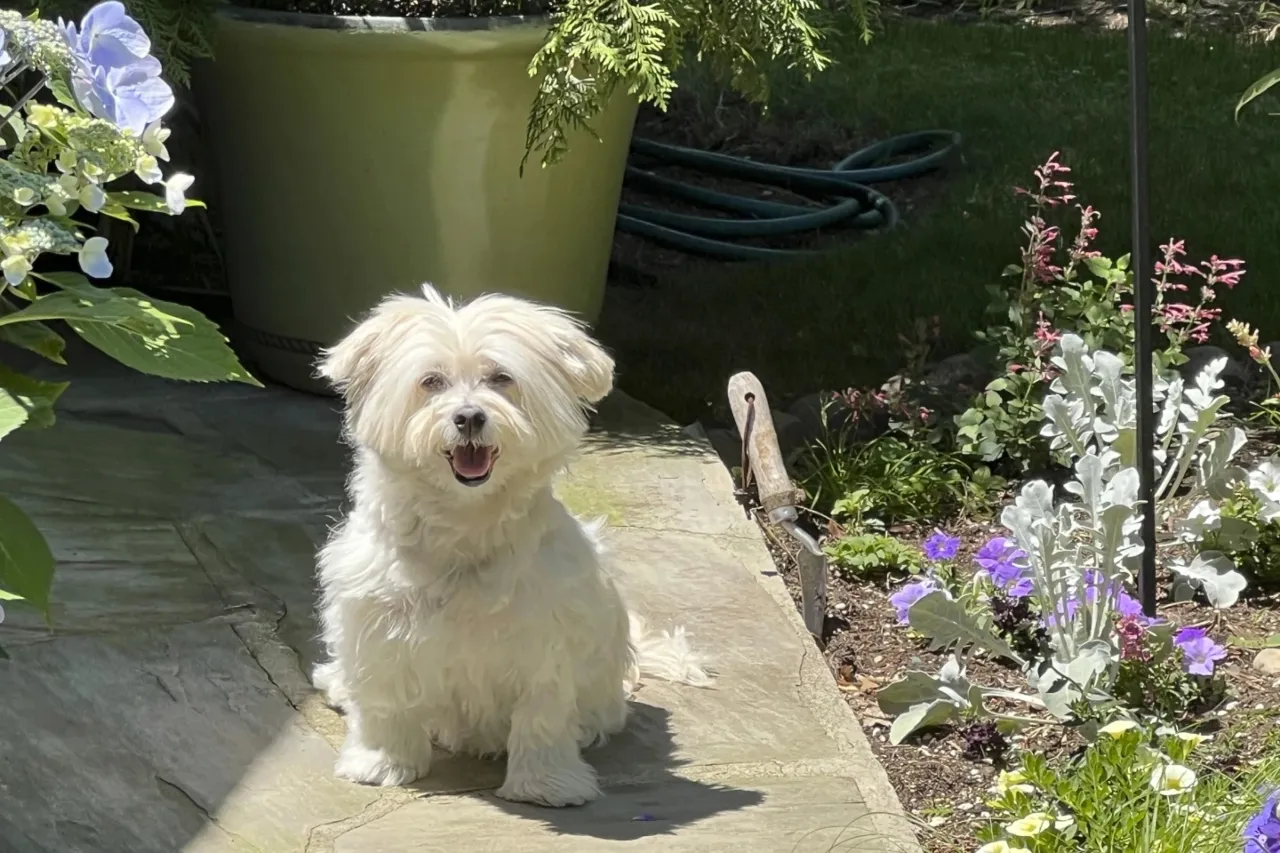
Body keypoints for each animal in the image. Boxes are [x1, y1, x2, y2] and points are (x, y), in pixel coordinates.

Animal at [309, 284, 711, 804]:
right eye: (431, 382)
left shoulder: (547, 638)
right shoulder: (379, 621)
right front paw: (381, 762)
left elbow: (542, 715)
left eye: (501, 378)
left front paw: (546, 783)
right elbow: (385, 700)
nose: (469, 417)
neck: (464, 522)